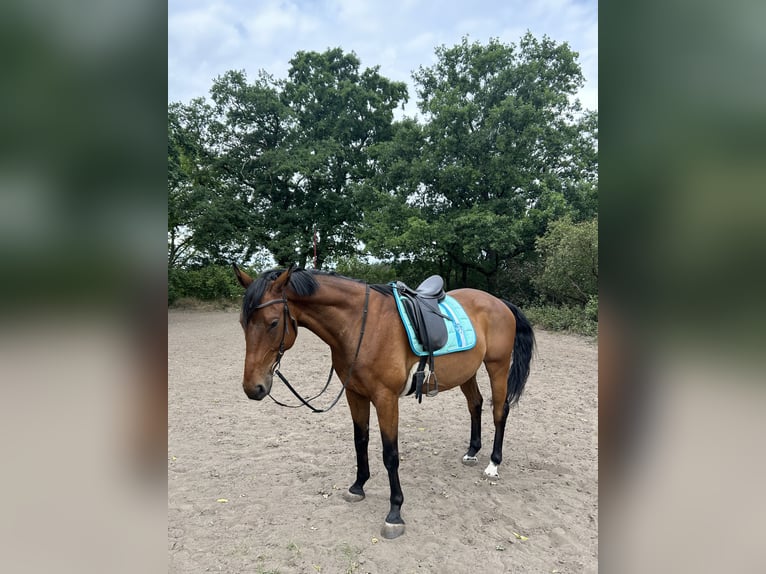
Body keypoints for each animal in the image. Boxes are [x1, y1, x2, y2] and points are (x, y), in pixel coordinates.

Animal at [232, 265, 535, 539]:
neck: (360, 326)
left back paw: (493, 464)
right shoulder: (355, 394)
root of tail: (500, 302)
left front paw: (395, 513)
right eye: (243, 323)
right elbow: (360, 441)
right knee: (476, 404)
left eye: (272, 323)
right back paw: (472, 451)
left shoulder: (386, 398)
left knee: (500, 411)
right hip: (467, 372)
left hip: (497, 367)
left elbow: (390, 455)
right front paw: (358, 486)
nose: (253, 388)